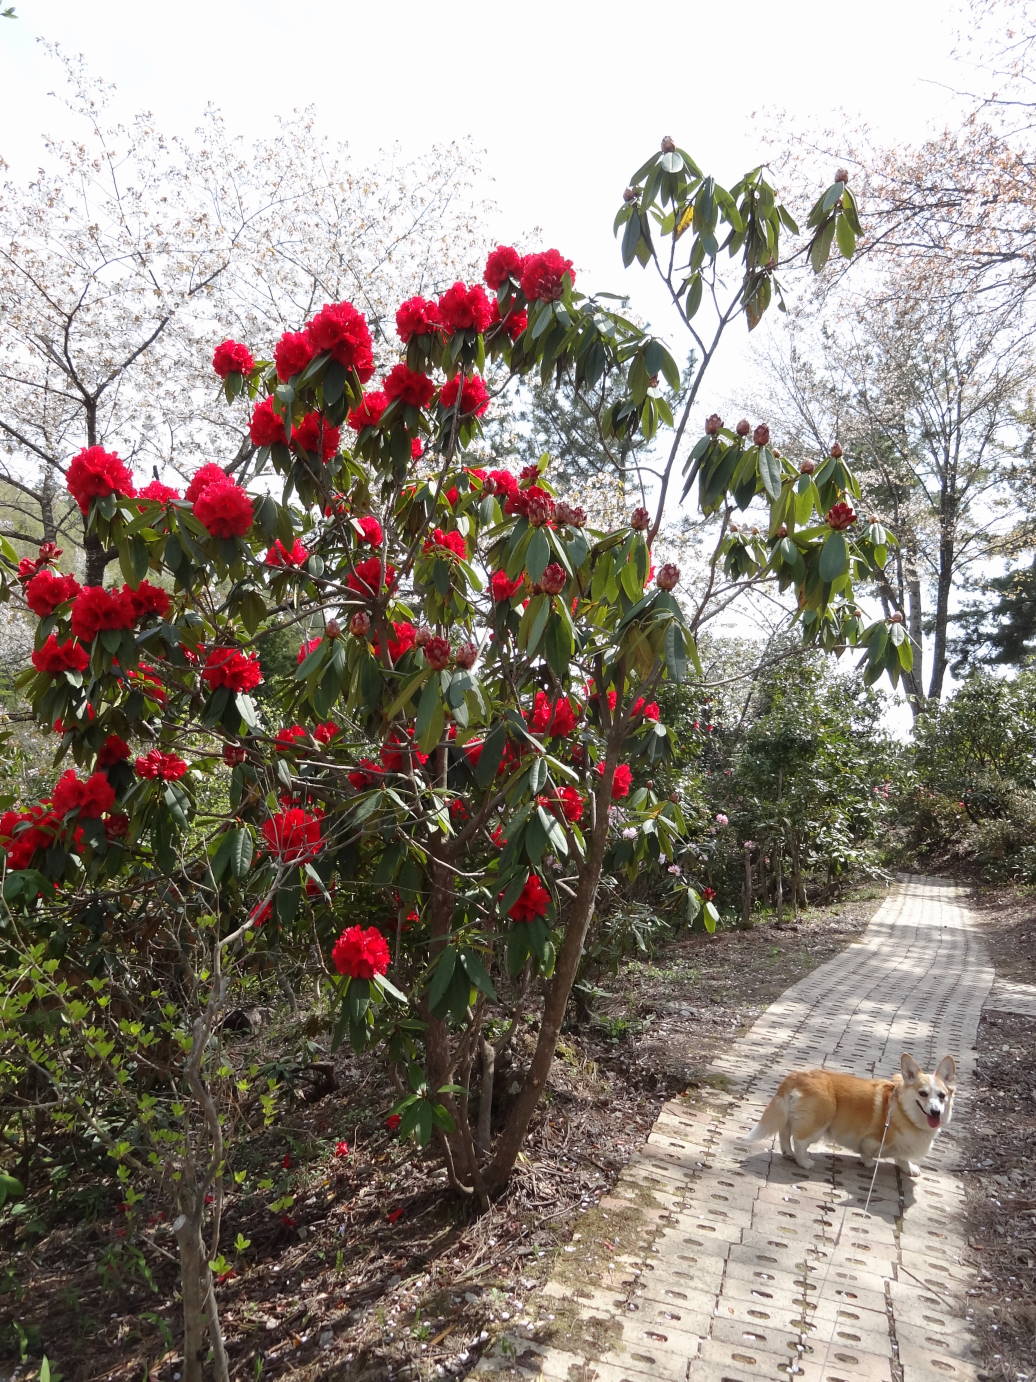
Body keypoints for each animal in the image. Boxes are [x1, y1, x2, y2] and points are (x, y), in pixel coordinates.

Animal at [751, 1055, 961, 1177]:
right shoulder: (872, 1139)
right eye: (923, 1094)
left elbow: (902, 1158)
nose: (935, 1112)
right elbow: (869, 1153)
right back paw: (804, 1162)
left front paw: (909, 1168)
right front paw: (869, 1163)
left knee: (784, 1133)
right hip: (820, 1120)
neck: (905, 1112)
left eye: (942, 1096)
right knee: (800, 1141)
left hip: (791, 1116)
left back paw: (788, 1153)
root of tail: (796, 1076)